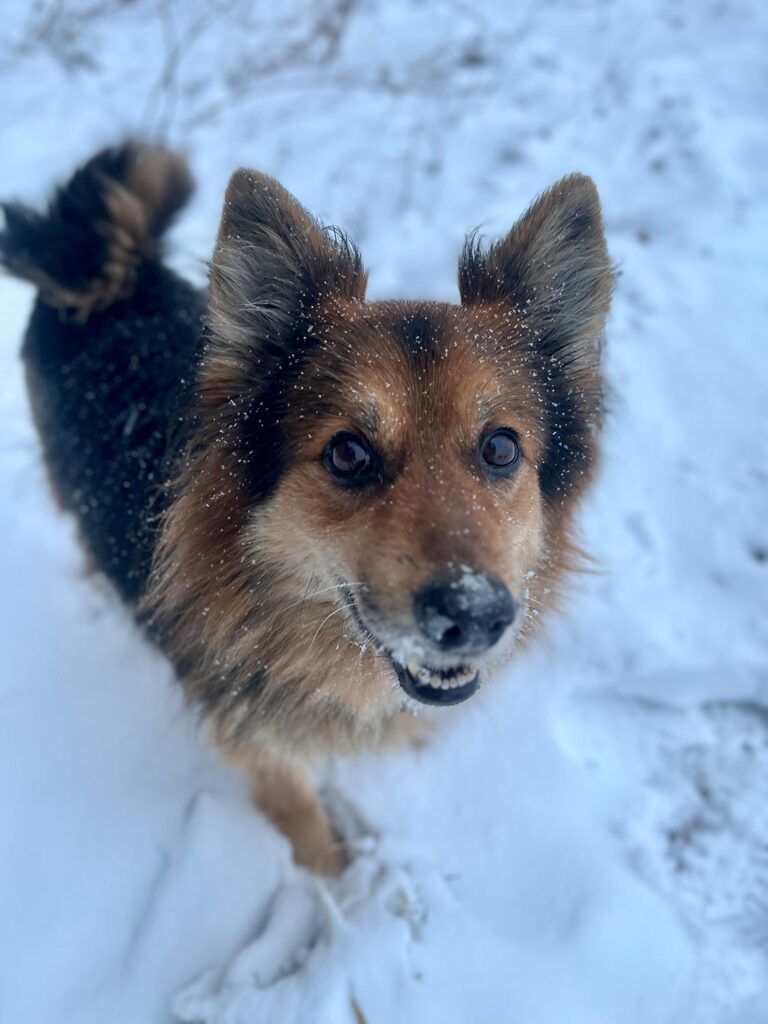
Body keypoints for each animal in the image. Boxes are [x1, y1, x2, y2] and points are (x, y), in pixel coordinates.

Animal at [1, 143, 612, 874]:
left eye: (500, 448)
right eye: (348, 454)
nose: (474, 616)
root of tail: (104, 272)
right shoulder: (255, 745)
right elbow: (303, 820)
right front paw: (337, 877)